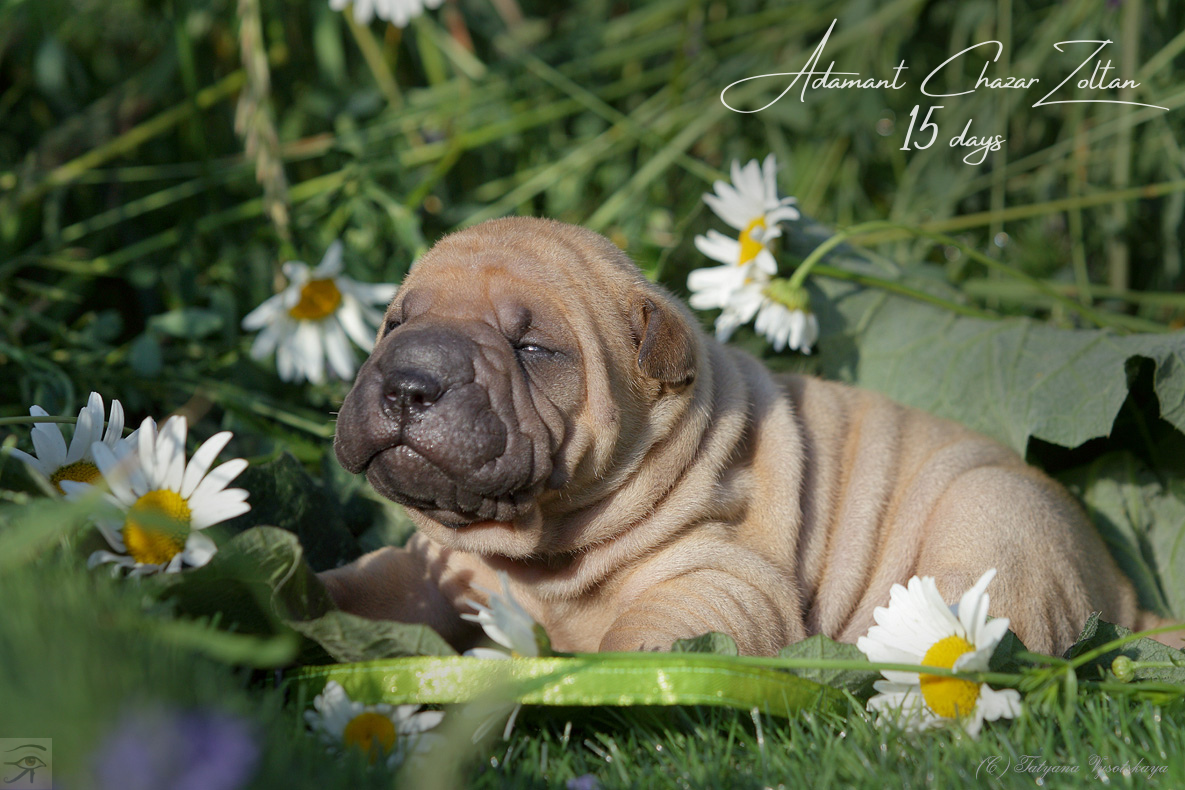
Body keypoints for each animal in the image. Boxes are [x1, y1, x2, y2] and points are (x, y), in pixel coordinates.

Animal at [319, 214, 1180, 653]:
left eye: (533, 350)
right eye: (394, 324)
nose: (408, 381)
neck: (541, 556)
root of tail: (1128, 597)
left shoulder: (720, 583)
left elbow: (641, 638)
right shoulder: (439, 564)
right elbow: (375, 581)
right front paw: (303, 596)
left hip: (993, 519)